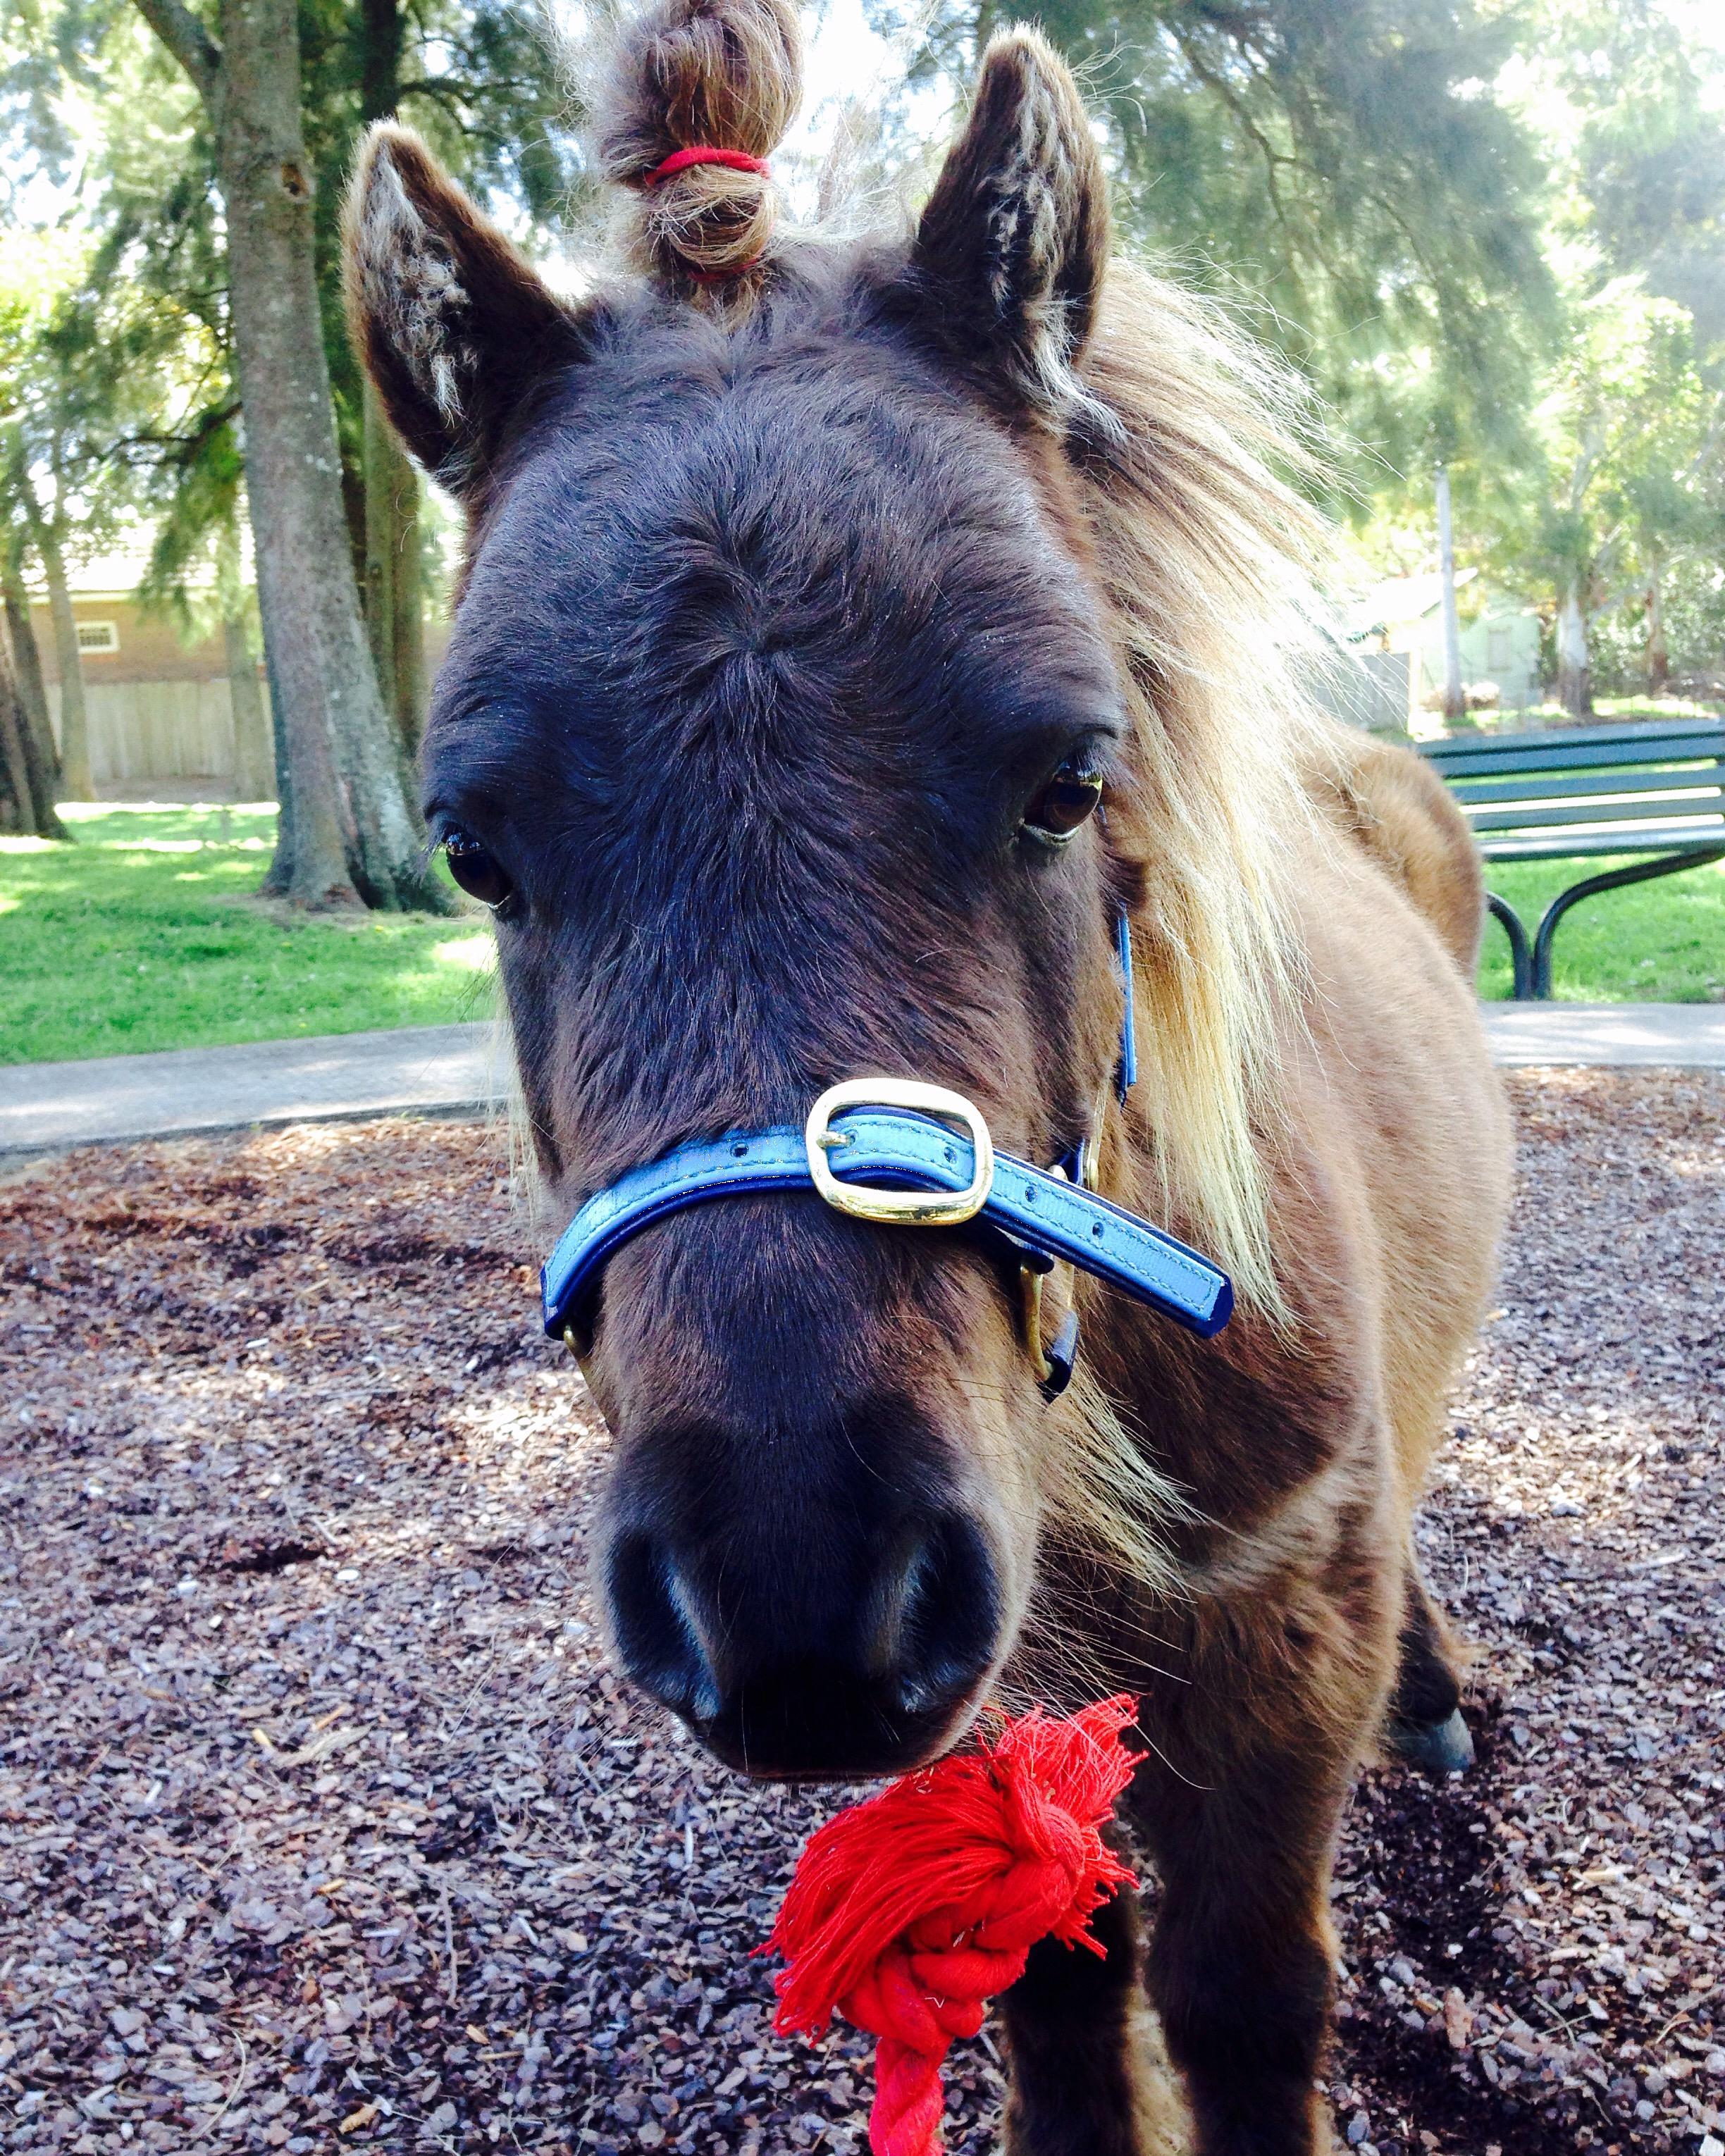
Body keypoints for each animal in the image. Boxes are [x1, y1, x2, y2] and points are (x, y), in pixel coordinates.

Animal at [343, 1, 1512, 2145]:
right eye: (474, 850)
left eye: (1068, 774)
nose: (794, 1584)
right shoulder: (983, 1690)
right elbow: (1058, 1983)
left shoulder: (1277, 1651)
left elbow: (1246, 1999)